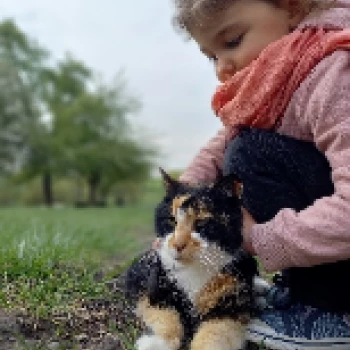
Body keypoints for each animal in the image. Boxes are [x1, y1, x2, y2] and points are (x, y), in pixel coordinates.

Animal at [124, 168, 264, 348]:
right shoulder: (155, 295)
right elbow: (167, 317)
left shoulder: (232, 308)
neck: (193, 269)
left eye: (201, 223)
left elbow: (214, 334)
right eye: (171, 220)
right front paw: (156, 343)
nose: (178, 244)